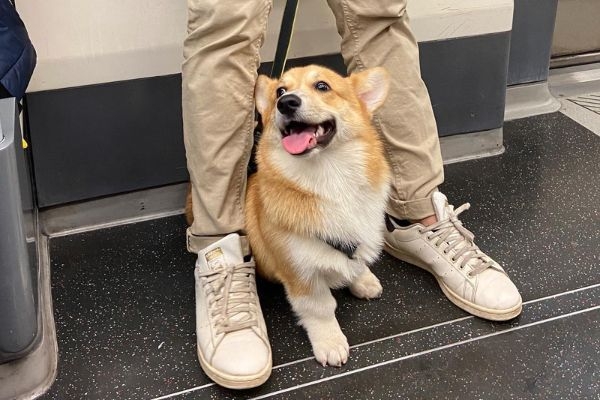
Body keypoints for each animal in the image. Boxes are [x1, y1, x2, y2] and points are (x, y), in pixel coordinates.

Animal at [246, 65, 392, 366]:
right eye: (280, 90)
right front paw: (331, 343)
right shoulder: (300, 272)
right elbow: (321, 309)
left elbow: (356, 261)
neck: (329, 177)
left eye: (322, 86)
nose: (286, 102)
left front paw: (362, 279)